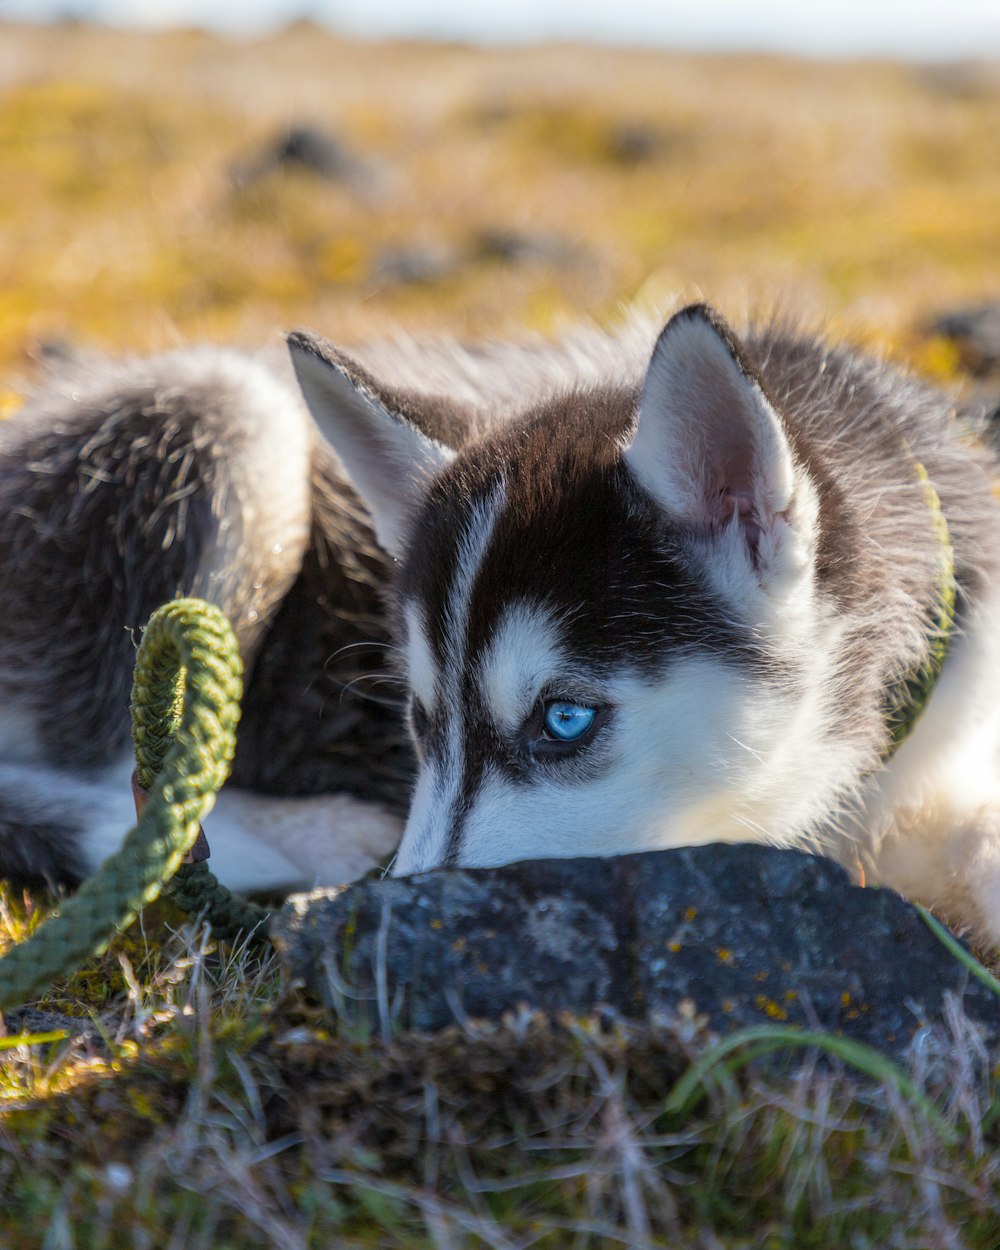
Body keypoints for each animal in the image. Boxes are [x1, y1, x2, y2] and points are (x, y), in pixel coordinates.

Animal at [1, 307, 1000, 940]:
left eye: (565, 720)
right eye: (419, 717)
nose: (387, 926)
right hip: (225, 418)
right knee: (126, 781)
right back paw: (306, 836)